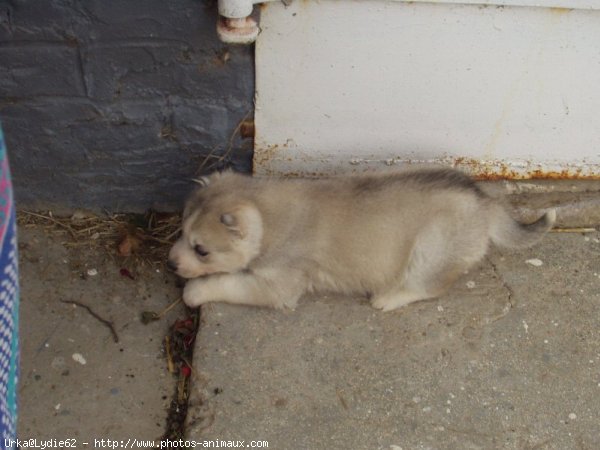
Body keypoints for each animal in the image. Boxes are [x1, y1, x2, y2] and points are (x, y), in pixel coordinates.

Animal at [166, 167, 556, 312]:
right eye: (181, 232)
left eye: (201, 250)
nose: (170, 261)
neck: (269, 214)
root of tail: (486, 204)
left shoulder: (277, 287)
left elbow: (228, 282)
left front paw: (194, 292)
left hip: (431, 249)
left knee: (430, 286)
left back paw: (388, 297)